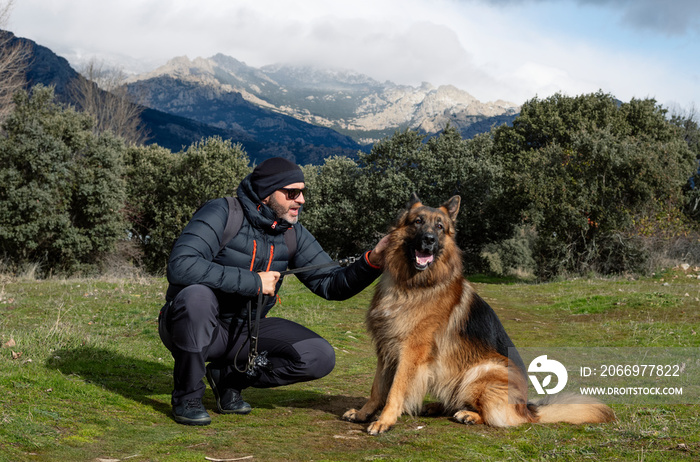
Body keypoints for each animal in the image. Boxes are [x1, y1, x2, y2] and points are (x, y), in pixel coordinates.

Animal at [342, 193, 616, 434]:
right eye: (417, 221)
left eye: (439, 227)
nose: (429, 239)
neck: (413, 285)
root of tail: (527, 409)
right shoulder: (385, 347)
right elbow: (377, 388)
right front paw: (364, 413)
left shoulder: (411, 352)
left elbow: (395, 391)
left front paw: (385, 420)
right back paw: (438, 407)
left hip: (480, 372)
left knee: (502, 418)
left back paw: (469, 415)